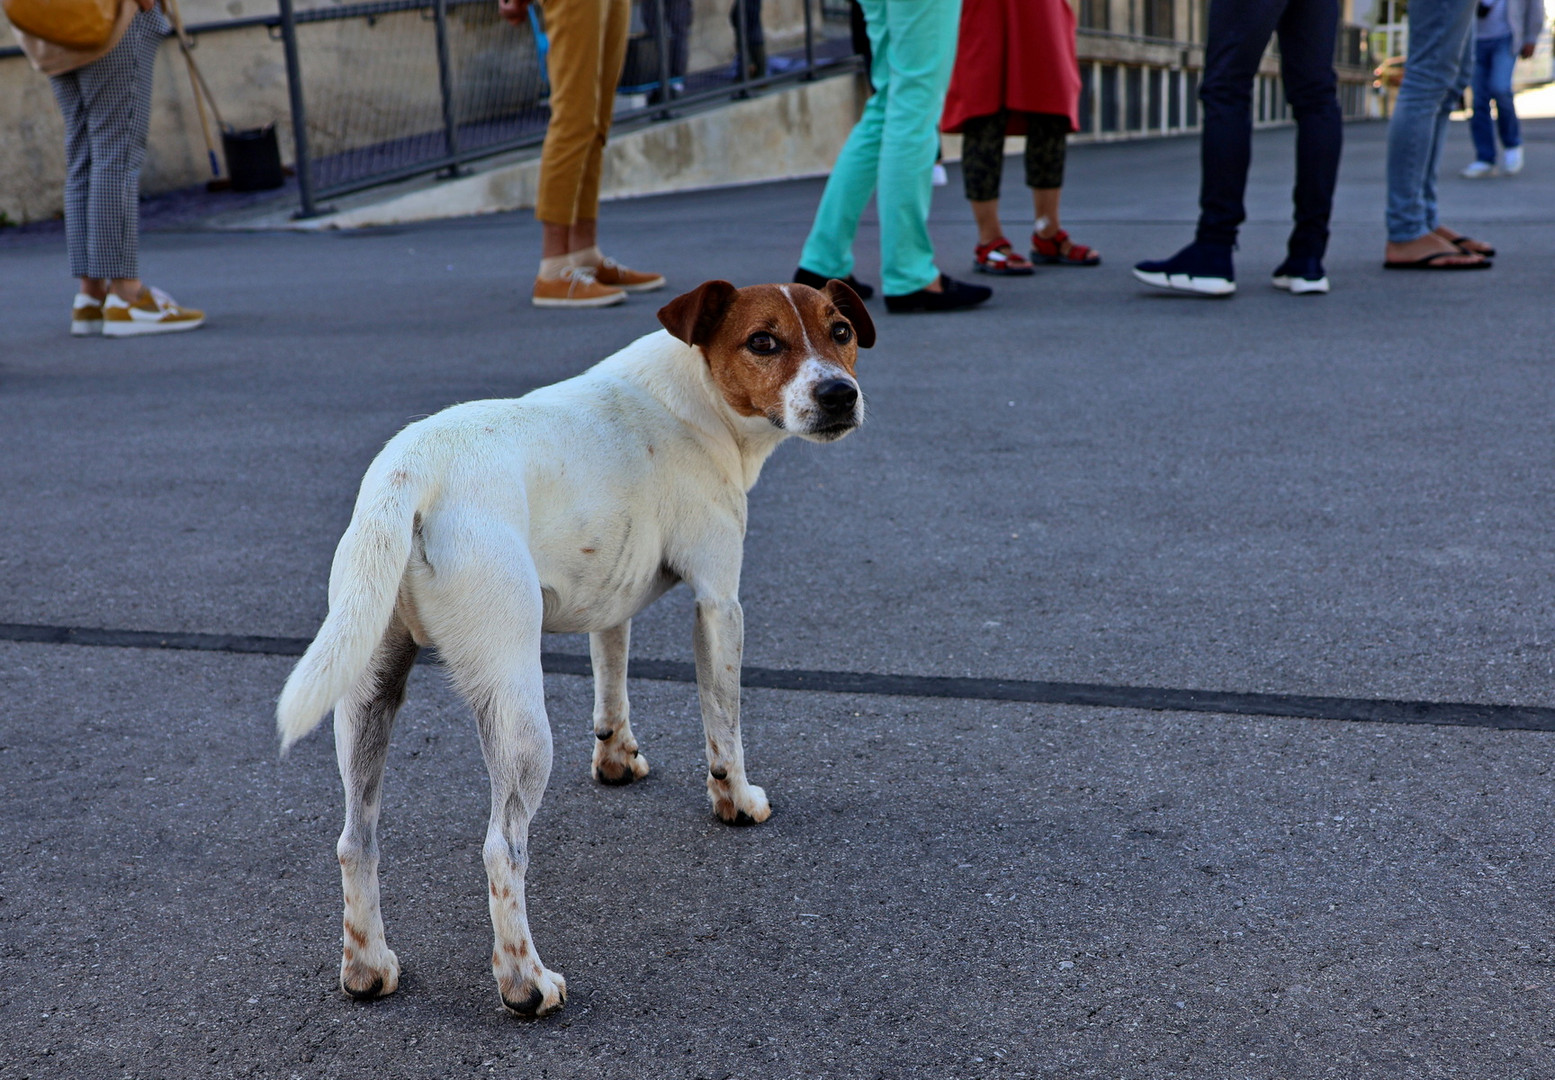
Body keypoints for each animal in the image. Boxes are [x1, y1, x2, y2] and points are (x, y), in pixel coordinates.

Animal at [273, 281, 870, 1019]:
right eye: (763, 341)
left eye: (840, 330)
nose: (840, 393)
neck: (696, 392)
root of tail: (408, 475)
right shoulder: (718, 602)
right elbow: (723, 723)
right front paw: (736, 801)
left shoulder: (610, 599)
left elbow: (610, 677)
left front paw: (616, 757)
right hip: (518, 712)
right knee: (501, 849)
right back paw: (524, 982)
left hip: (365, 691)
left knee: (356, 839)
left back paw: (366, 966)